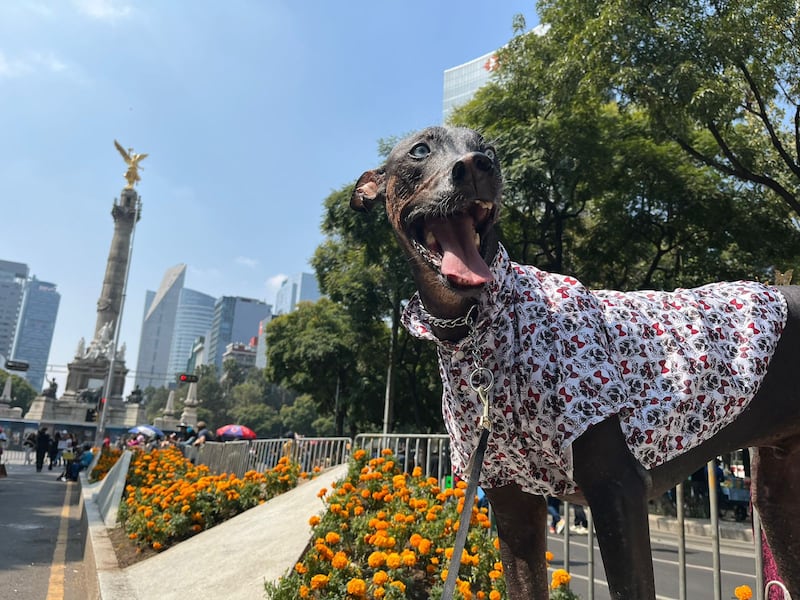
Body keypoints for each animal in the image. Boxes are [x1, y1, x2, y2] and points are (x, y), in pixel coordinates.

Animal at [354, 124, 800, 596]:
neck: (476, 327)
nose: (477, 165)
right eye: (420, 150)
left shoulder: (617, 490)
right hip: (777, 497)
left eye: (488, 148)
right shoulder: (511, 502)